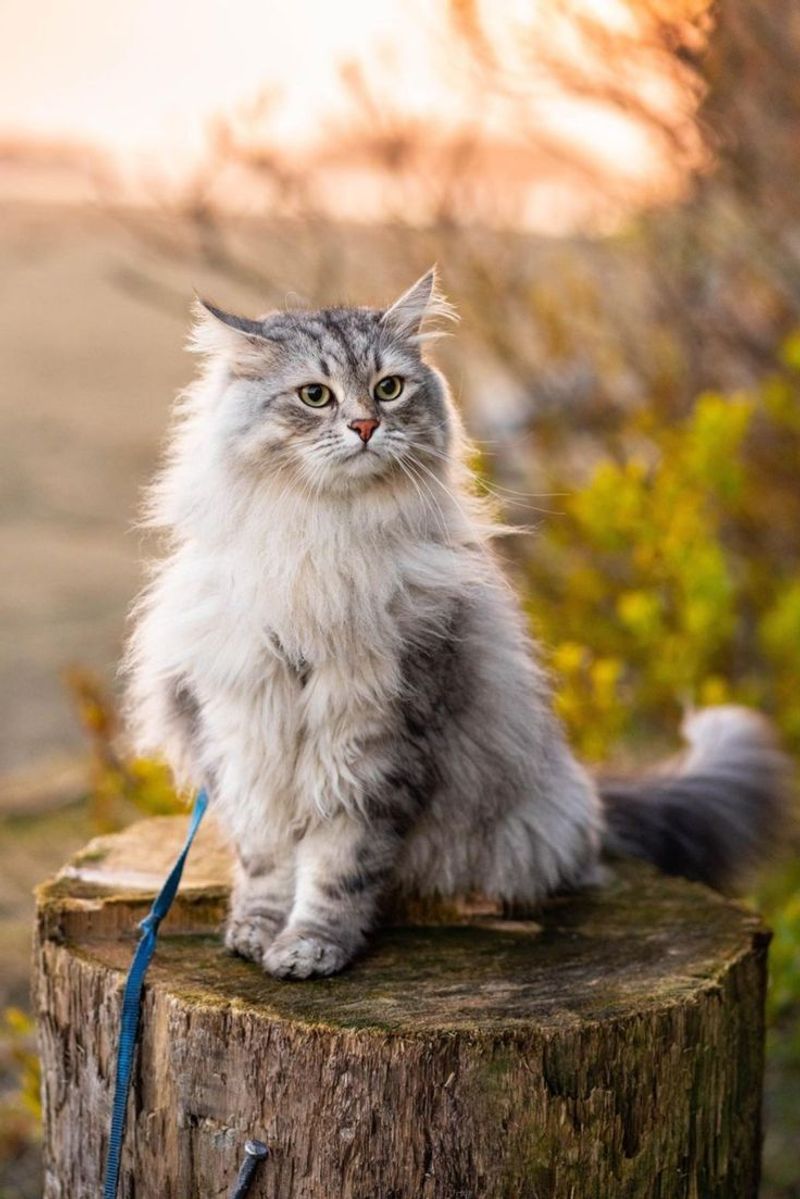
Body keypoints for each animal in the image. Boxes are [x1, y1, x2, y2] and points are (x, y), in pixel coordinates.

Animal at [125, 267, 786, 978]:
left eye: (389, 388)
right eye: (314, 396)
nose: (364, 425)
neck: (323, 545)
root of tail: (587, 796)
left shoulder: (379, 736)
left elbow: (337, 867)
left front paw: (311, 947)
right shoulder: (245, 732)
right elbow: (267, 860)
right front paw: (255, 931)